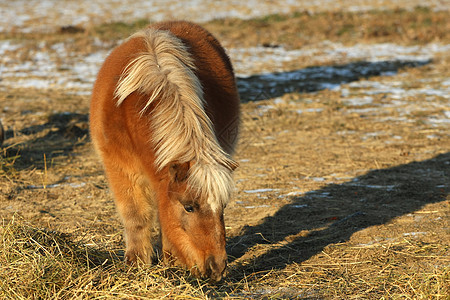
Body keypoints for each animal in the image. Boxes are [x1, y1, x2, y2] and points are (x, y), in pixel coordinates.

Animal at [89, 21, 241, 282]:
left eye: (223, 206)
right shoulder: (120, 168)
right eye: (189, 206)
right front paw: (137, 263)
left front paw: (171, 262)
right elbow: (136, 215)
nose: (216, 268)